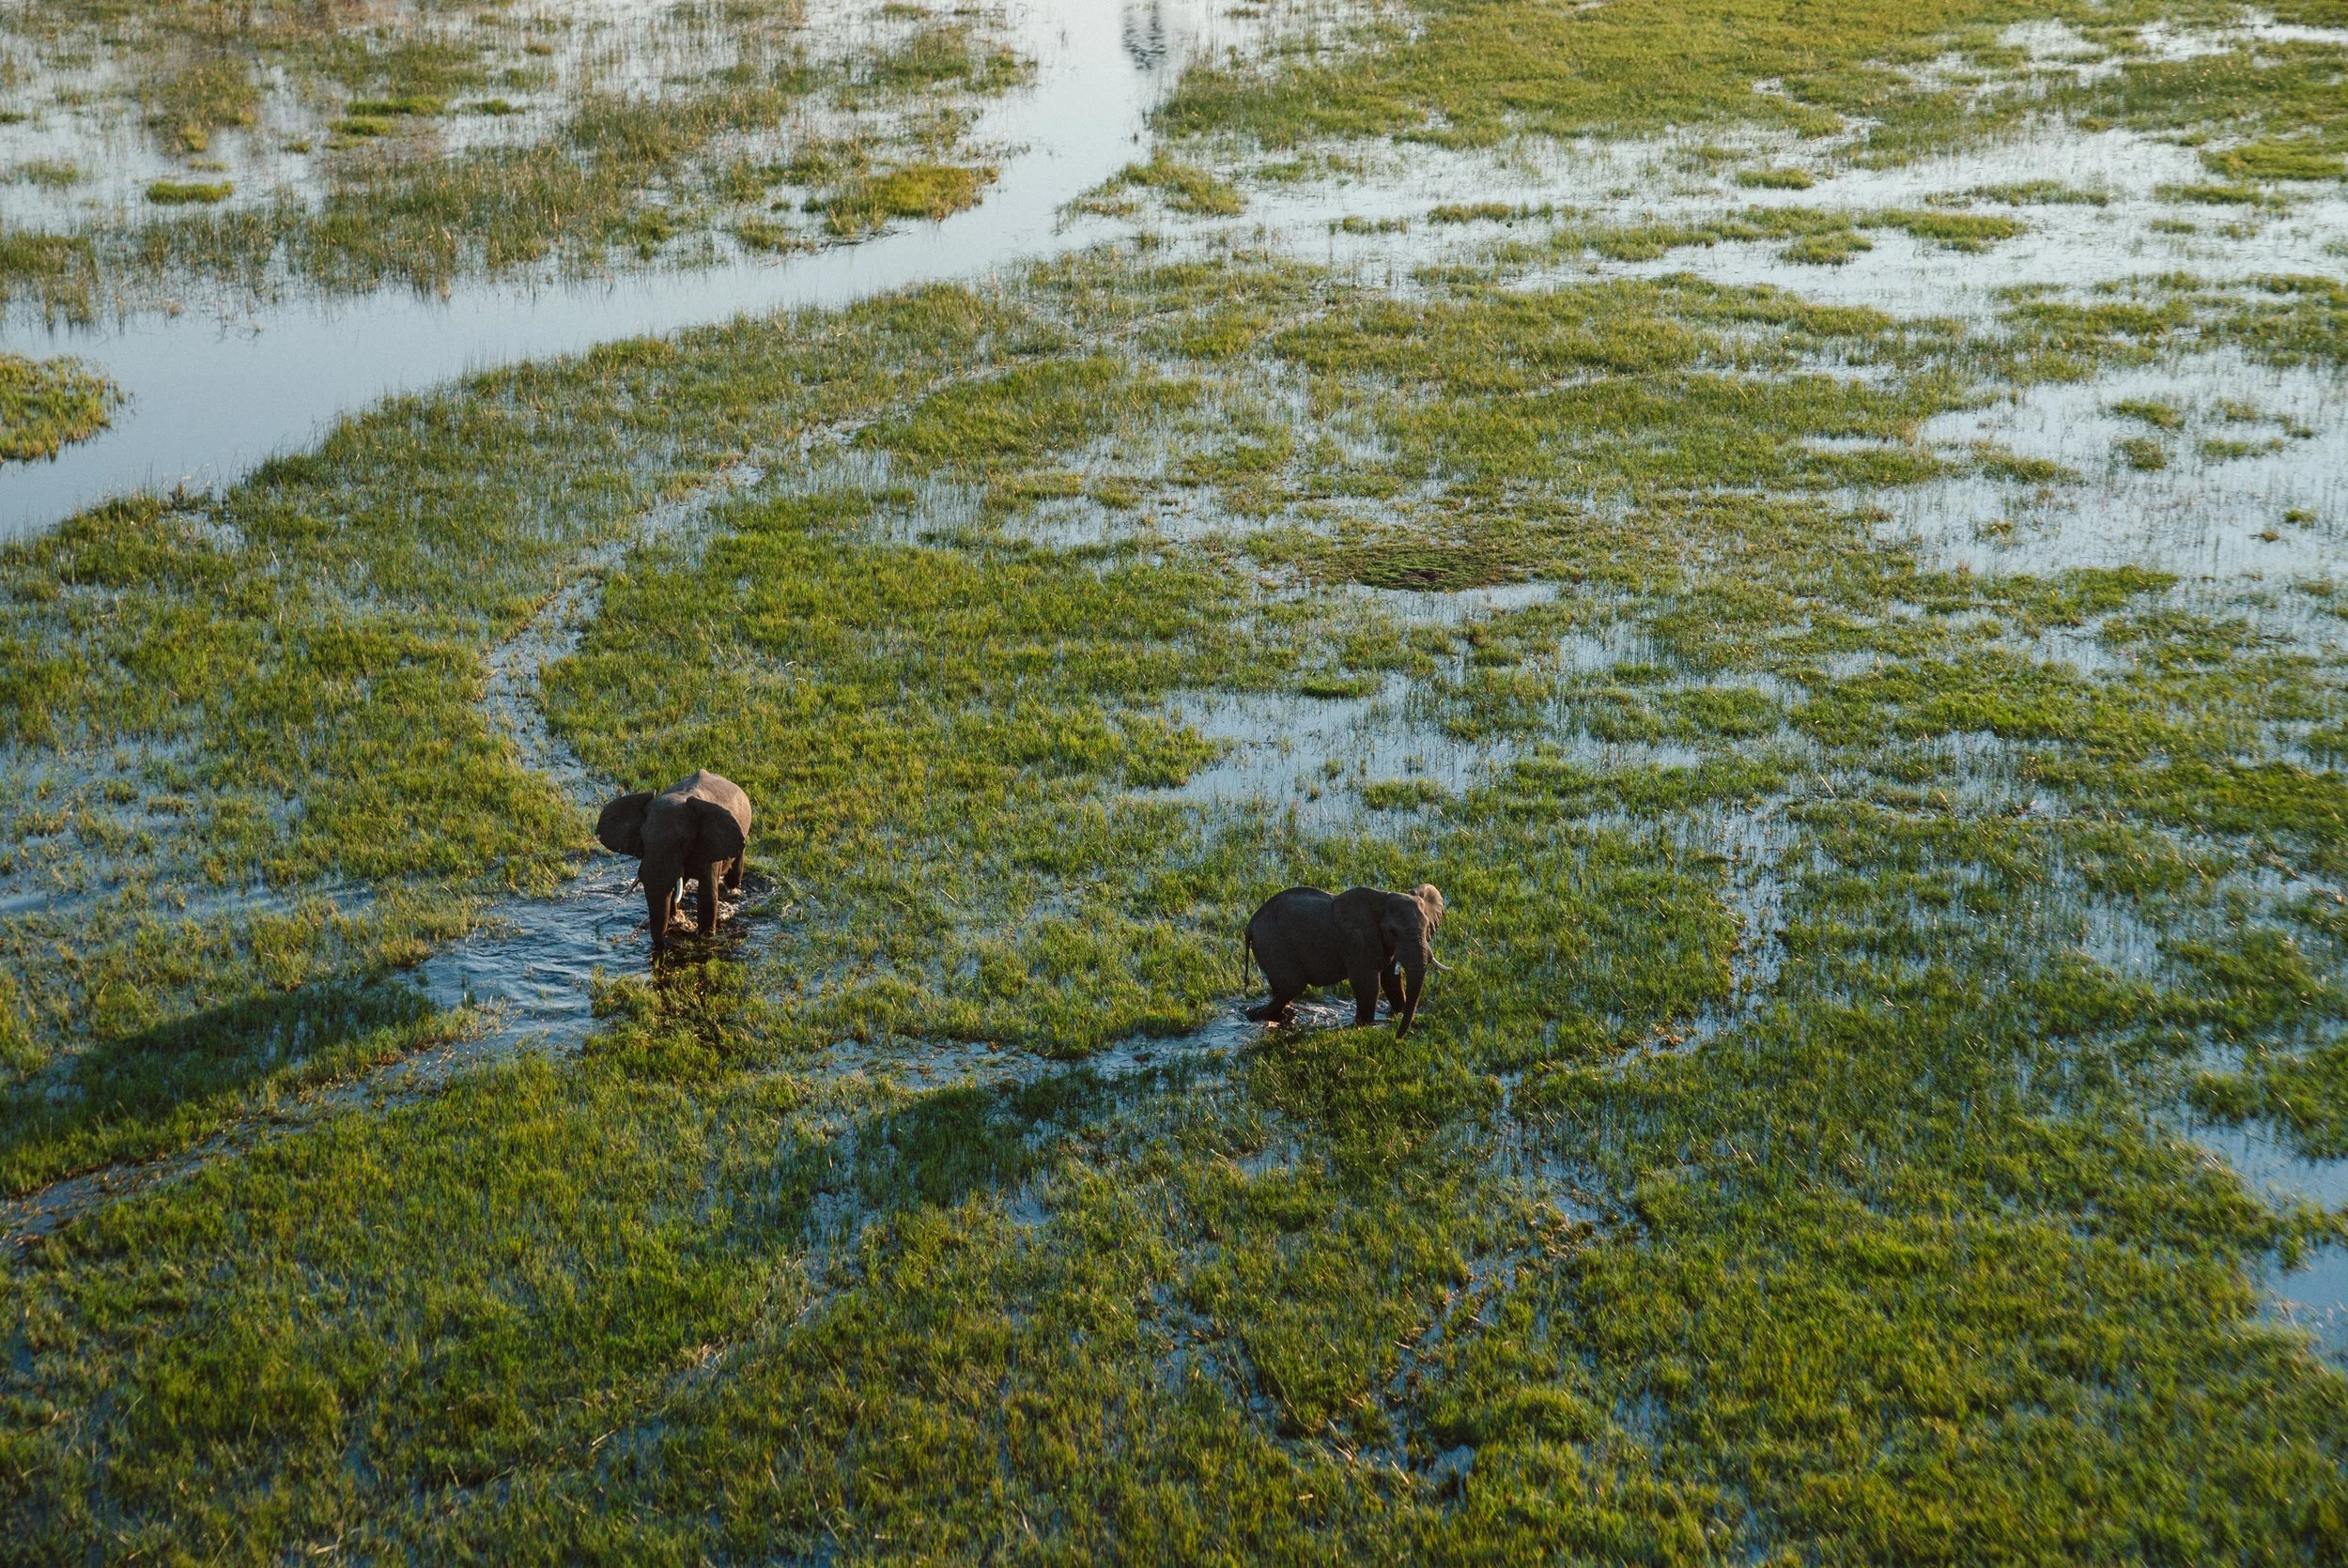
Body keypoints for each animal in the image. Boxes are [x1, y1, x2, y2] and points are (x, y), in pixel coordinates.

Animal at [595, 770, 752, 952]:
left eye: (683, 843)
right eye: (643, 840)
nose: (664, 944)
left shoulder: (710, 844)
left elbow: (707, 895)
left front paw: (705, 937)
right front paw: (674, 921)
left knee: (734, 873)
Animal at [1243, 883, 1446, 1039]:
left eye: (1427, 927)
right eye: (1393, 932)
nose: (1396, 1037)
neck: (1382, 900)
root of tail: (1251, 924)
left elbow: (1391, 980)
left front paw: (1397, 1013)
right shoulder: (1357, 942)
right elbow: (1369, 985)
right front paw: (1365, 1026)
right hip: (1274, 944)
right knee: (1291, 987)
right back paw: (1257, 1016)